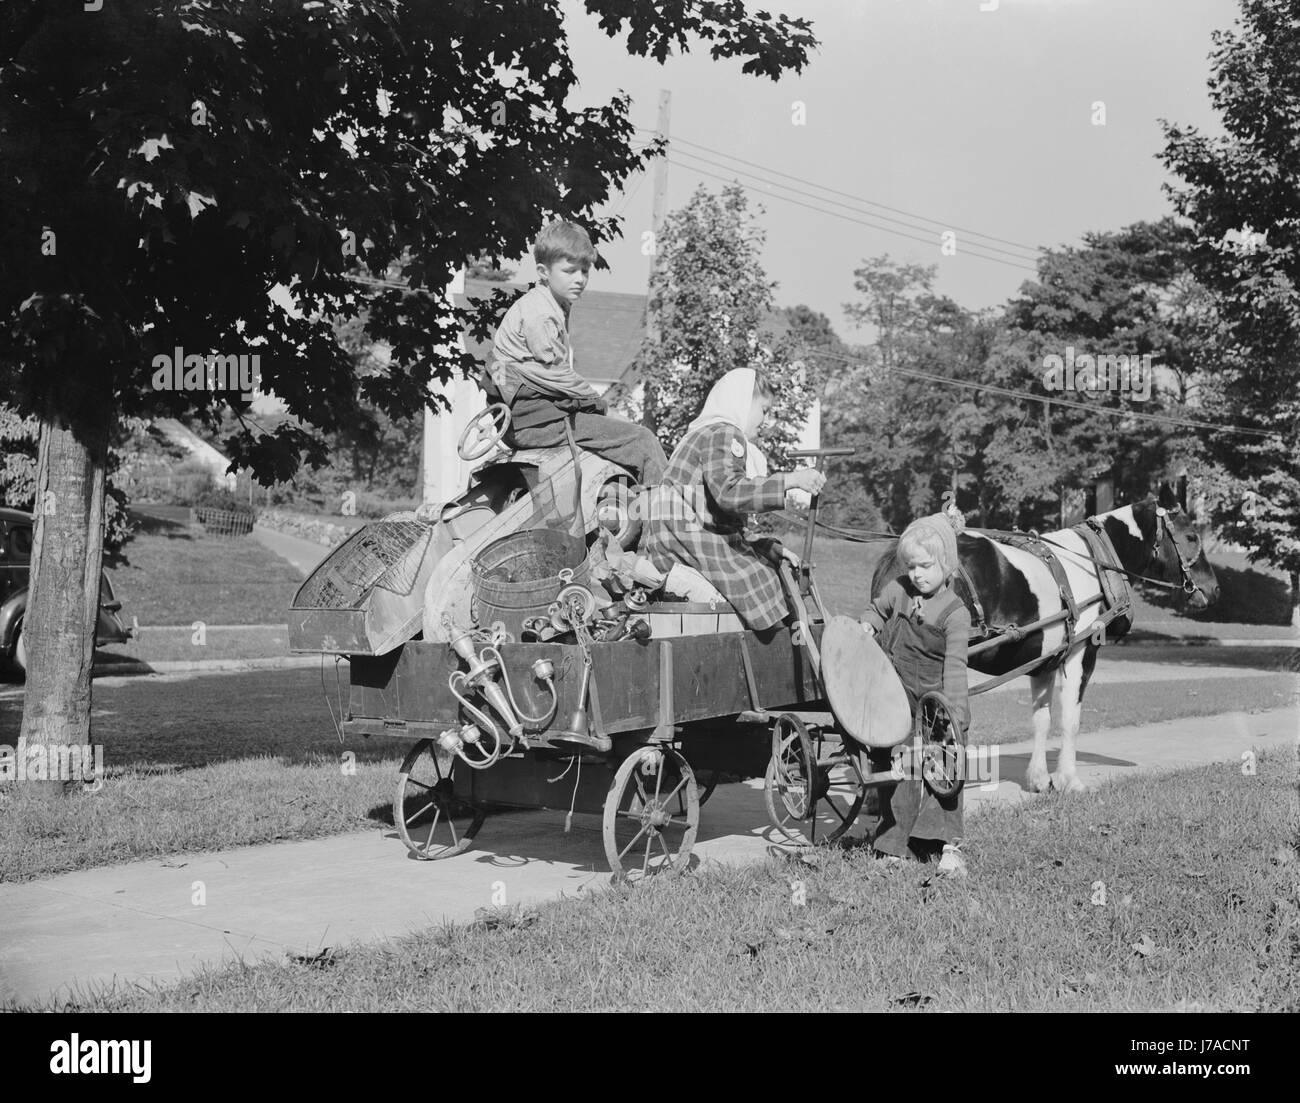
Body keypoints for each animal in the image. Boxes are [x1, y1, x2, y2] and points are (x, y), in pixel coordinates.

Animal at [873, 483, 1216, 790]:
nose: (1214, 588)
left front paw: (1039, 778)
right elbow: (1070, 720)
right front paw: (1069, 779)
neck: (1094, 561)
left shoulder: (1044, 661)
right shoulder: (1081, 653)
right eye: (1191, 536)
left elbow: (1042, 719)